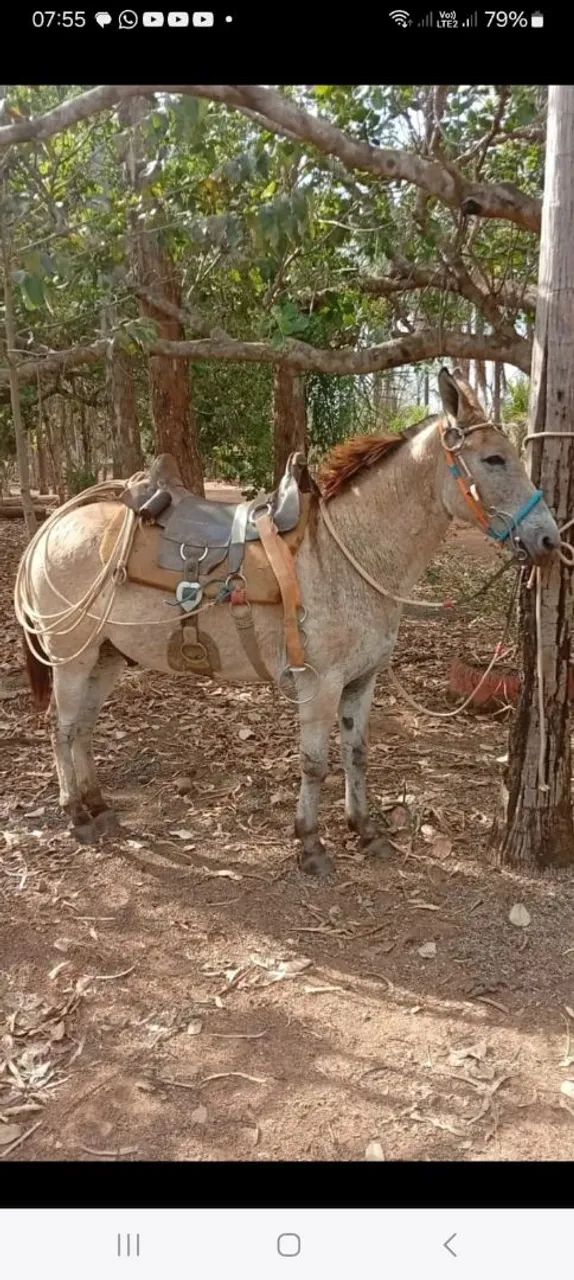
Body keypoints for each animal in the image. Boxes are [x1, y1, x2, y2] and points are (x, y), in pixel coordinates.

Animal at [16, 368, 560, 876]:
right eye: (494, 460)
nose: (549, 539)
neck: (349, 553)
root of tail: (55, 525)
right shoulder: (320, 684)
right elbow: (315, 764)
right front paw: (310, 844)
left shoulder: (361, 682)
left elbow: (357, 754)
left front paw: (365, 830)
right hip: (73, 656)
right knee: (61, 726)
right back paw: (76, 815)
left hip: (107, 657)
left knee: (84, 727)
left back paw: (98, 806)